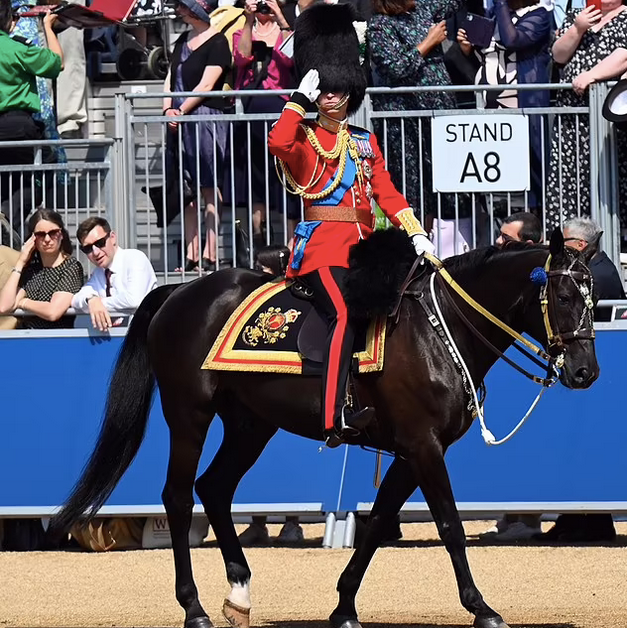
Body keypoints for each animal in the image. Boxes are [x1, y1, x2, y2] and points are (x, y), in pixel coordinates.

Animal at [49, 229, 600, 628]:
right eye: (562, 296)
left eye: (594, 299)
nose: (585, 372)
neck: (437, 331)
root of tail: (180, 290)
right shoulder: (423, 447)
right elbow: (449, 526)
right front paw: (481, 607)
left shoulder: (410, 452)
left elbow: (377, 526)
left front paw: (344, 607)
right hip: (190, 416)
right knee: (180, 497)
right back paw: (194, 607)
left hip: (251, 425)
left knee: (215, 488)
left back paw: (239, 594)